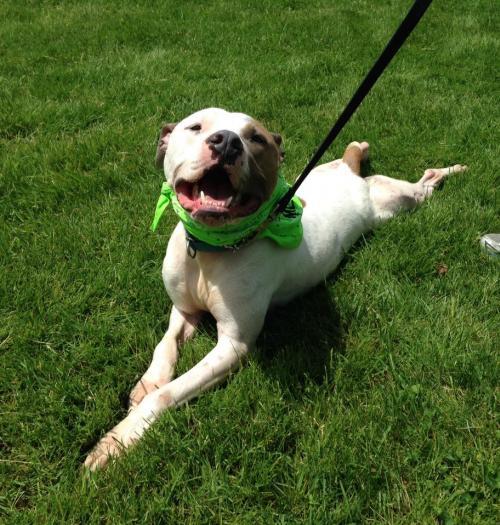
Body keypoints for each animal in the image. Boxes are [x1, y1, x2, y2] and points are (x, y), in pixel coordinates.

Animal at [83, 105, 468, 466]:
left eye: (256, 138)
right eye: (195, 126)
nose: (227, 142)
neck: (212, 249)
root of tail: (349, 175)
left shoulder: (233, 346)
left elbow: (167, 394)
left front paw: (118, 439)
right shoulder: (185, 309)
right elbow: (164, 345)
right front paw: (148, 381)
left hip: (396, 202)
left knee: (424, 185)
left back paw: (450, 172)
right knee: (354, 150)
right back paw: (364, 148)